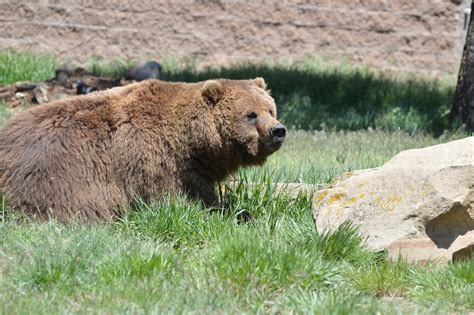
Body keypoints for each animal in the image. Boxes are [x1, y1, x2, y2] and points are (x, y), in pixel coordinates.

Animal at [0, 78, 286, 223]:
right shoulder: (158, 164)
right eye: (251, 114)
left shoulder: (191, 170)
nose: (278, 130)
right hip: (54, 175)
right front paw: (237, 215)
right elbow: (186, 203)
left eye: (270, 109)